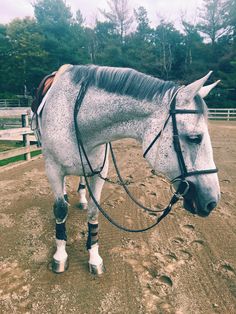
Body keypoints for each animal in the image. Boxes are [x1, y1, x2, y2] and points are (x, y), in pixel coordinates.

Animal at [37, 65, 220, 274]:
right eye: (194, 138)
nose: (212, 201)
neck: (76, 120)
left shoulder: (98, 172)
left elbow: (93, 211)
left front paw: (94, 256)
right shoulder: (52, 169)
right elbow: (60, 210)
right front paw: (60, 255)